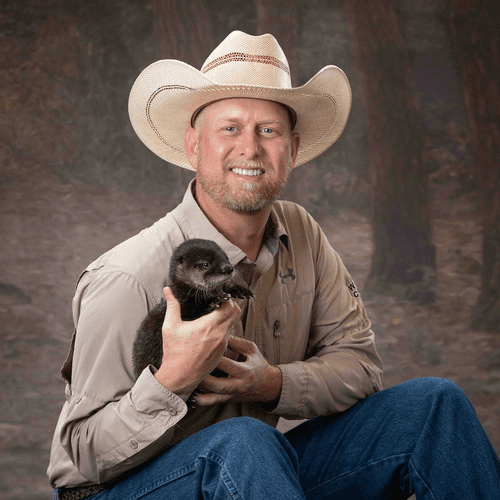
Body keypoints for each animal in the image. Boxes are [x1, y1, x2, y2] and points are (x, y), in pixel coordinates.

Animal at [132, 239, 254, 378]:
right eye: (206, 264)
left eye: (226, 257)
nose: (228, 268)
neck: (189, 294)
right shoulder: (184, 306)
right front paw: (214, 302)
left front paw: (240, 290)